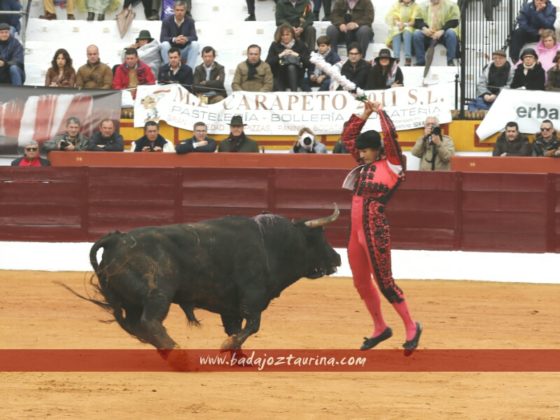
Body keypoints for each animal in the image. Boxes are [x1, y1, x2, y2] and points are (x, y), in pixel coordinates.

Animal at [80, 206, 340, 348]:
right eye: (319, 236)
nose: (337, 258)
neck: (270, 244)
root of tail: (116, 239)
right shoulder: (252, 298)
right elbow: (252, 326)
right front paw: (227, 347)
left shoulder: (231, 308)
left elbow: (236, 329)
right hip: (158, 294)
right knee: (150, 323)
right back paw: (177, 352)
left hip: (131, 302)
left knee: (136, 326)